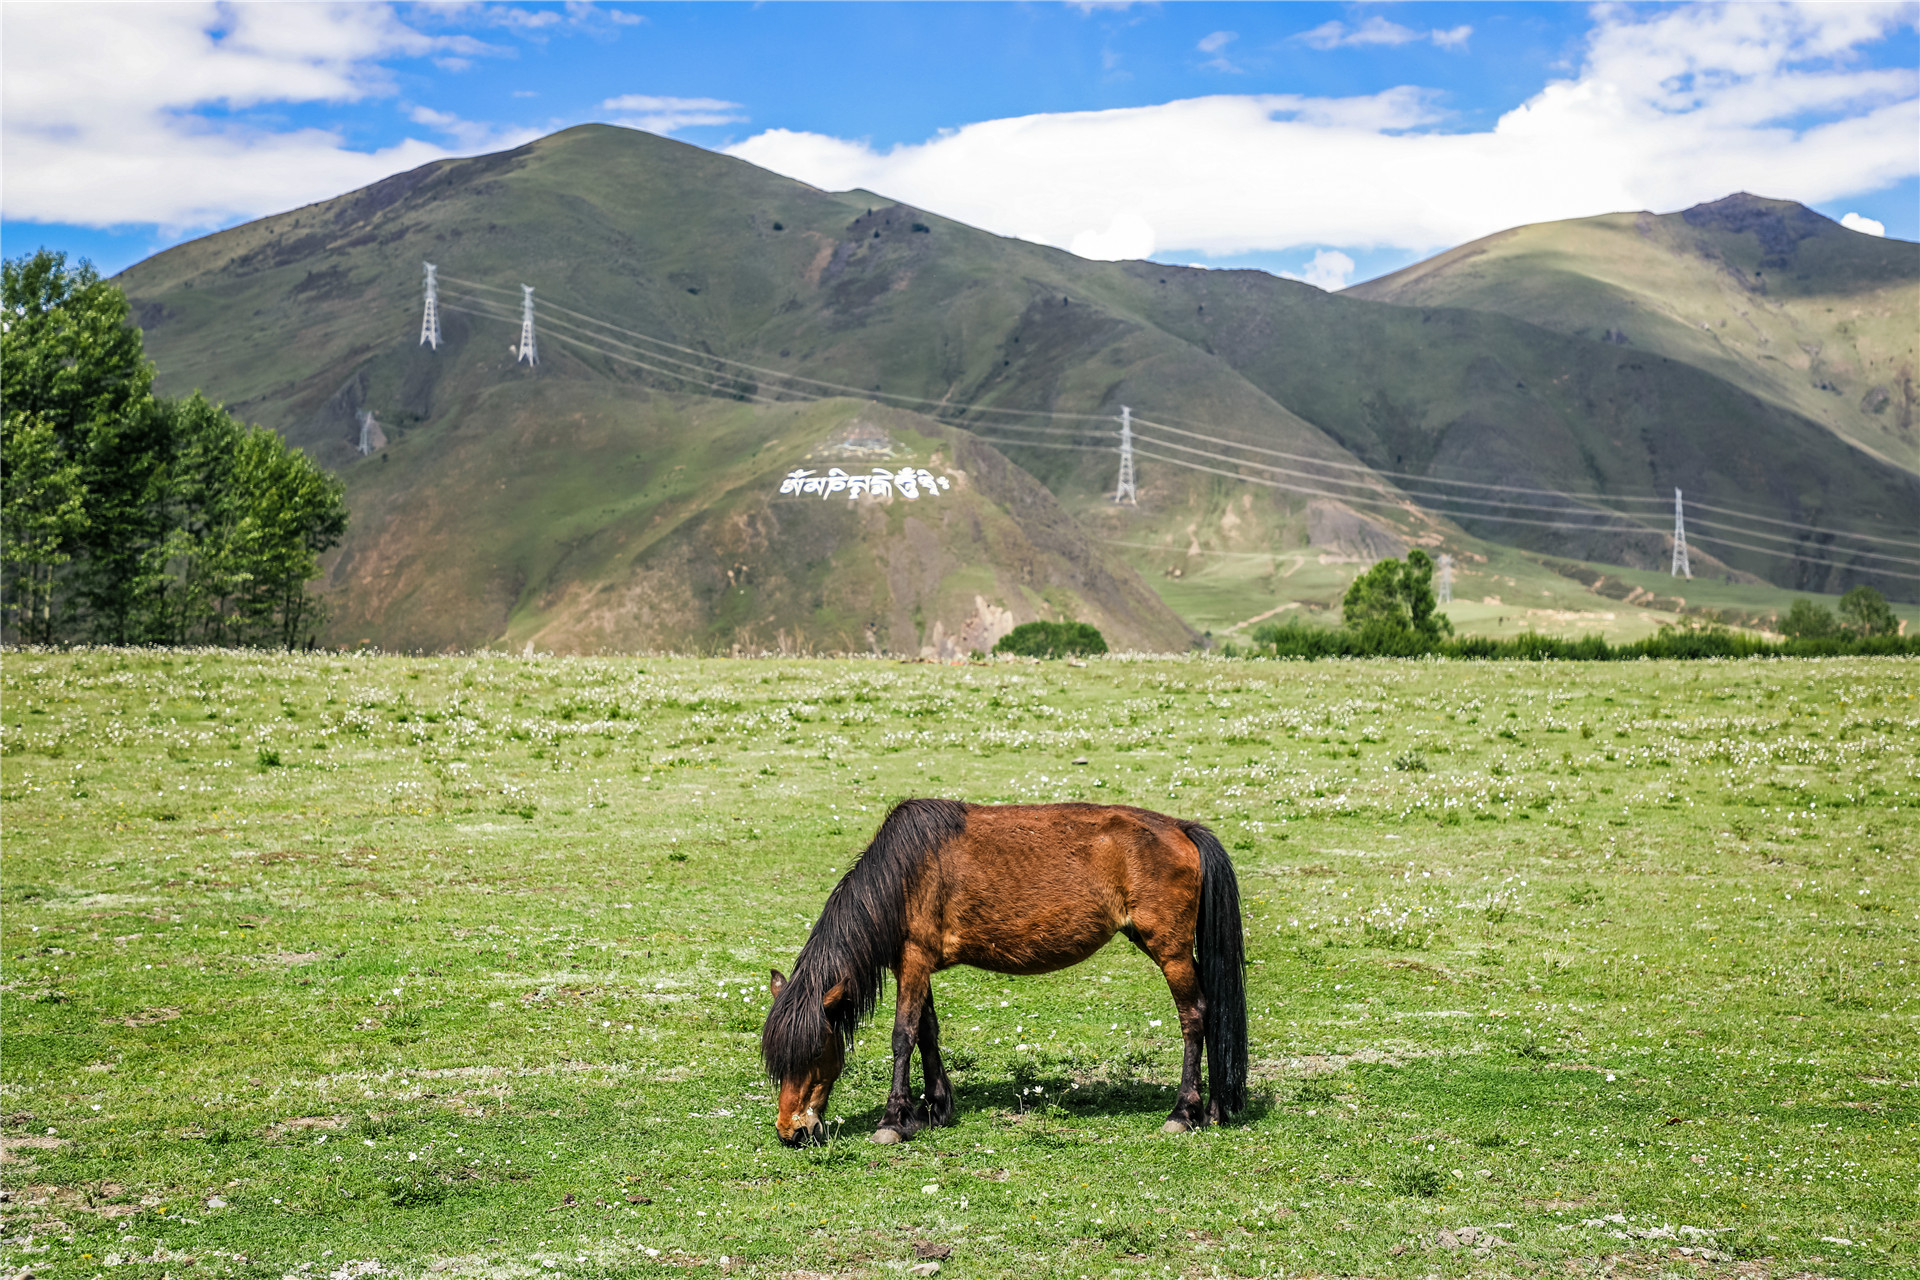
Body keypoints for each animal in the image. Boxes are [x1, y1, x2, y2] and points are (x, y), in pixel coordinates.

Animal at [764, 802, 1244, 1151]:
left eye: (813, 1053)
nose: (791, 1132)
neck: (904, 873)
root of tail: (1182, 829)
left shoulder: (914, 958)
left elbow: (903, 1036)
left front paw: (892, 1121)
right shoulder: (918, 964)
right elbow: (927, 1032)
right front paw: (935, 1110)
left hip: (1170, 950)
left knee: (1194, 1017)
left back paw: (1182, 1113)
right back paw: (1215, 1109)